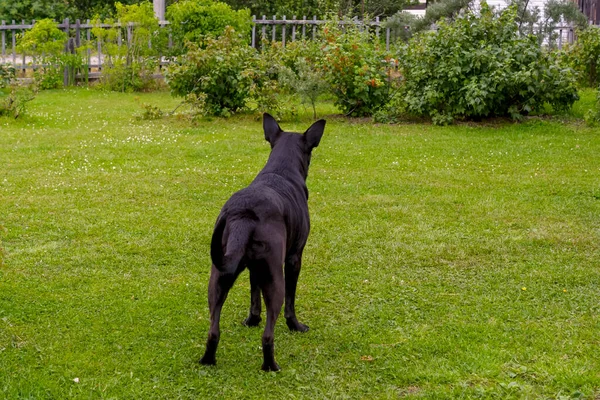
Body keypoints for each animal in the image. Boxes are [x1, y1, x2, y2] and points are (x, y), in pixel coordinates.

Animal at [200, 112, 324, 372]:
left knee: (213, 329)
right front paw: (296, 326)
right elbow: (291, 300)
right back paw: (271, 365)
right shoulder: (294, 257)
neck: (281, 169)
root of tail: (243, 214)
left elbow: (253, 292)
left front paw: (252, 320)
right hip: (274, 277)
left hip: (219, 274)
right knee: (268, 334)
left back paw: (208, 360)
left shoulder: (253, 267)